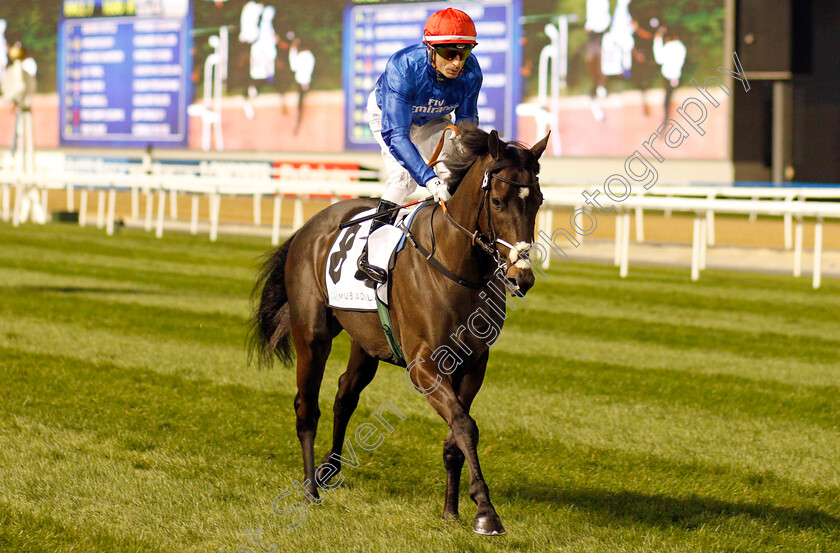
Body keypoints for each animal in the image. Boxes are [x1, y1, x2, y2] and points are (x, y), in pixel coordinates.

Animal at [248, 125, 552, 536]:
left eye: (537, 201)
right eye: (498, 201)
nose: (522, 277)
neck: (455, 266)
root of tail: (311, 225)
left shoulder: (474, 363)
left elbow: (456, 437)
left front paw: (451, 510)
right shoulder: (424, 364)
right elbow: (465, 425)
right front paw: (486, 511)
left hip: (366, 343)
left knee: (345, 394)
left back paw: (329, 468)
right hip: (312, 334)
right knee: (306, 408)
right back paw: (311, 490)